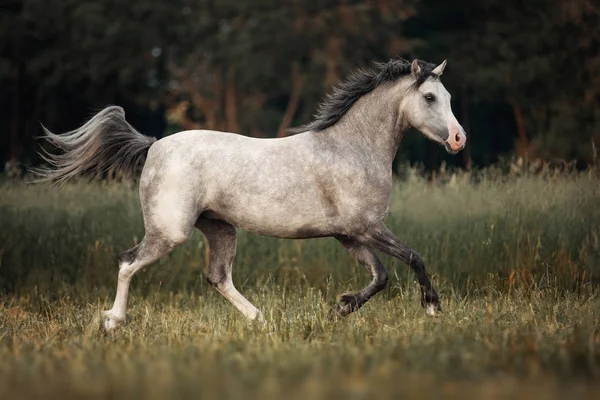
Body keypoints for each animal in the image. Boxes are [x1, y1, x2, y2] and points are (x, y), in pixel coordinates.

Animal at [36, 57, 468, 332]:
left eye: (448, 97)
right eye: (430, 97)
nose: (458, 139)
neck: (351, 148)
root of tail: (154, 145)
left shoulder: (350, 235)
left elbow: (380, 277)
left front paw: (339, 309)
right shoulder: (367, 229)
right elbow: (412, 257)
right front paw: (433, 309)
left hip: (220, 229)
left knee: (217, 277)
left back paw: (261, 321)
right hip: (170, 230)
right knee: (128, 262)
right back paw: (113, 322)